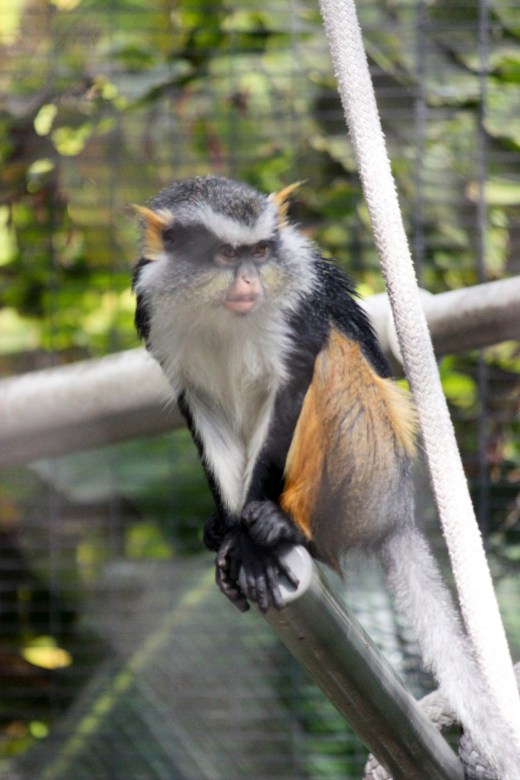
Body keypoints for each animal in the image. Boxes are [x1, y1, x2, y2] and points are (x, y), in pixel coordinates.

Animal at [131, 175, 514, 776]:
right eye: (227, 255)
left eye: (261, 252)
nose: (250, 280)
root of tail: (396, 512)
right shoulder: (154, 313)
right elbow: (199, 404)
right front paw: (229, 528)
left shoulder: (297, 306)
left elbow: (297, 375)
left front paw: (254, 540)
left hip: (369, 469)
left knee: (335, 357)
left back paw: (286, 527)